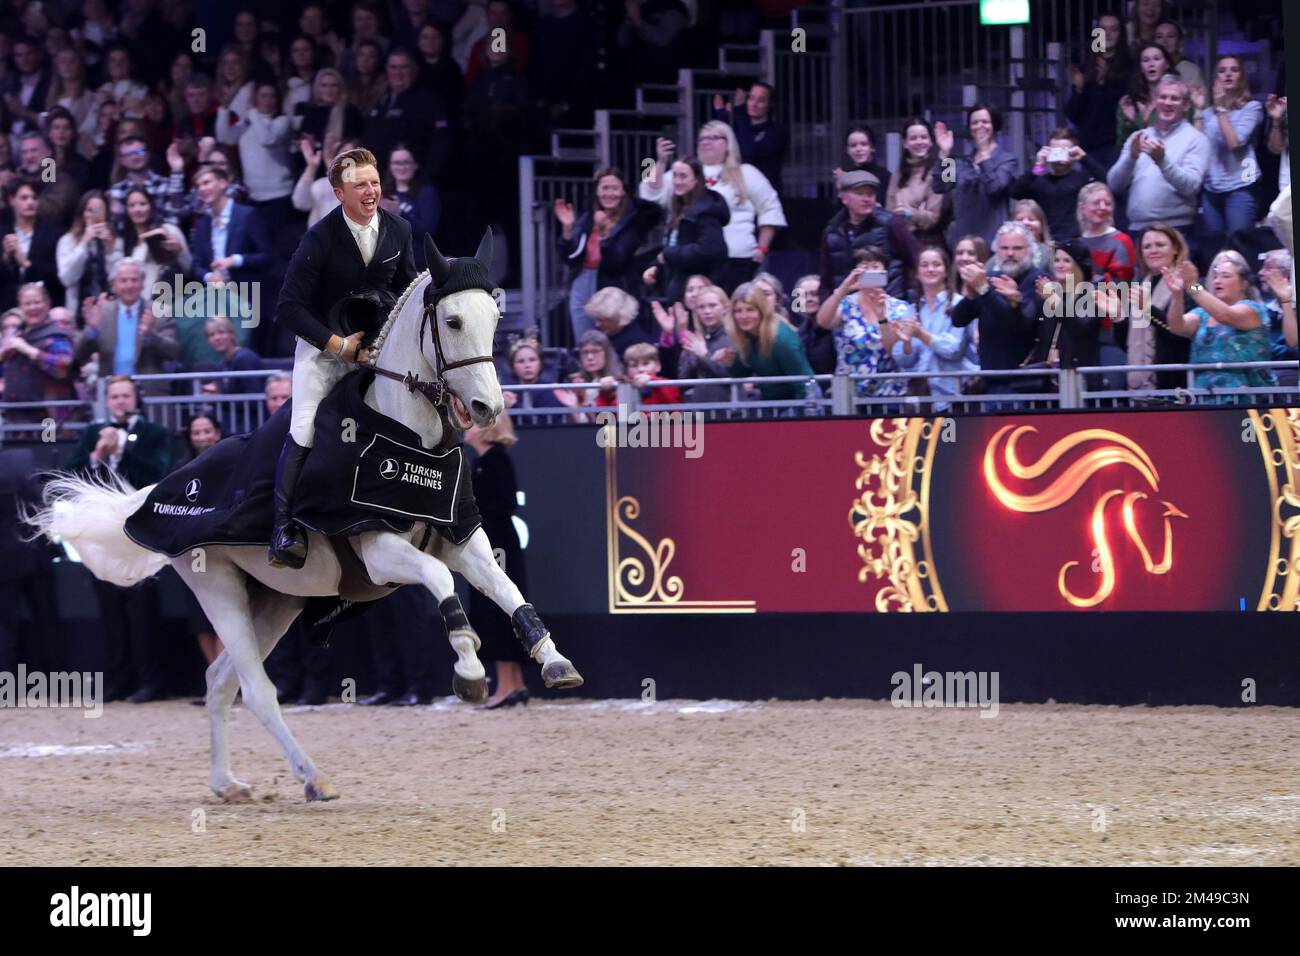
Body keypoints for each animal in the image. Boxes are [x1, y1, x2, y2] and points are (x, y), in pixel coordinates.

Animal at [24, 231, 585, 801]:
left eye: (495, 318)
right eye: (451, 322)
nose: (489, 408)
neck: (409, 436)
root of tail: (158, 490)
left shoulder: (461, 537)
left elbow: (506, 589)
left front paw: (556, 662)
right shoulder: (378, 550)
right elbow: (440, 580)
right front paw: (469, 669)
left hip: (276, 602)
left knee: (219, 682)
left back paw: (227, 783)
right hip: (219, 587)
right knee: (255, 689)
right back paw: (313, 777)